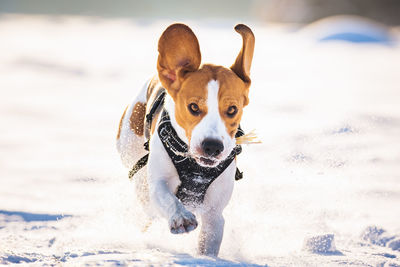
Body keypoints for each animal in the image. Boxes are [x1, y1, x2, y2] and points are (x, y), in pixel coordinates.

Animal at [116, 23, 253, 258]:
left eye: (232, 110)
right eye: (194, 107)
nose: (212, 146)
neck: (195, 167)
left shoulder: (214, 211)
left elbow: (211, 235)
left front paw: (207, 259)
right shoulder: (158, 182)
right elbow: (165, 196)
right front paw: (180, 217)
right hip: (132, 155)